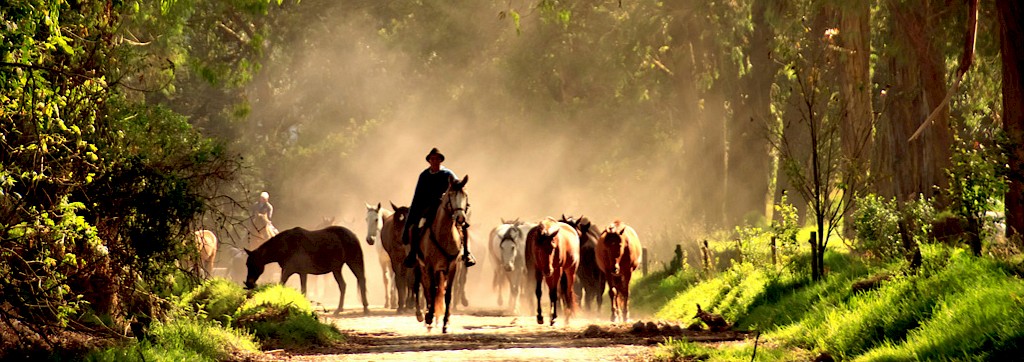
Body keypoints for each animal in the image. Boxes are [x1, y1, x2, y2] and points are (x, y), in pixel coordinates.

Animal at [409, 174, 468, 333]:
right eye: (451, 195)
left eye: (465, 195)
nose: (461, 218)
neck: (444, 235)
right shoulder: (429, 266)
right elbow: (431, 289)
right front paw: (429, 316)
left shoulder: (453, 267)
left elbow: (447, 294)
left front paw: (446, 323)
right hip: (420, 266)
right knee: (421, 286)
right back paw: (423, 316)